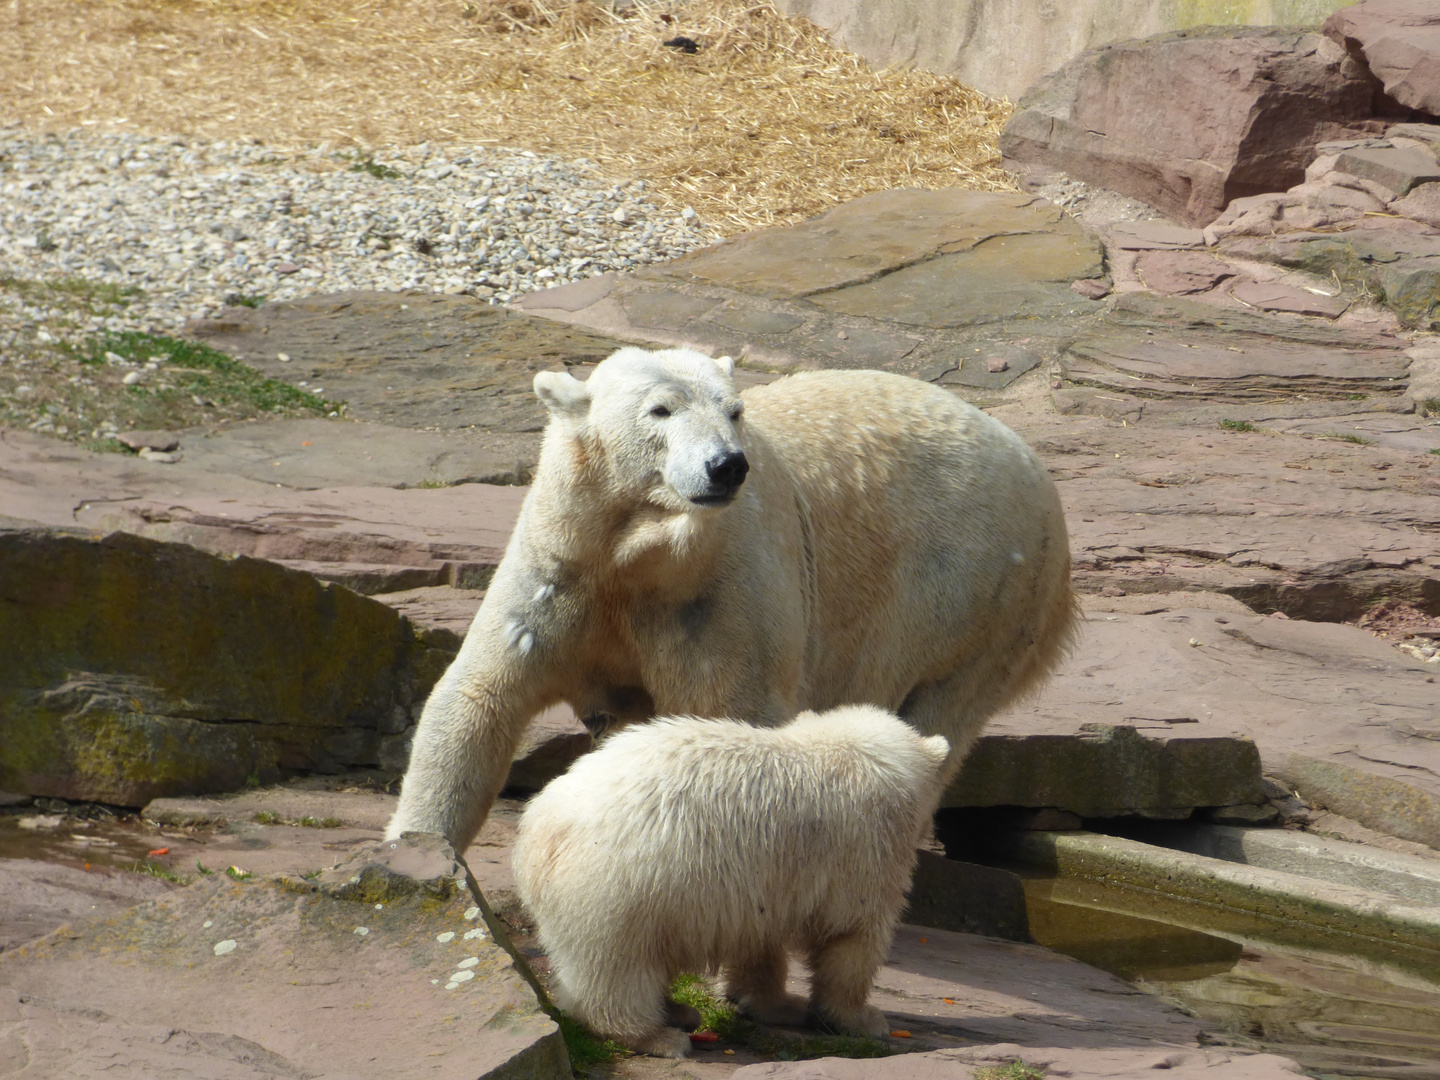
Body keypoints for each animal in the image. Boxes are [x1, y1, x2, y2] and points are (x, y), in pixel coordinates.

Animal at [388, 351, 1077, 852]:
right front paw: (420, 847)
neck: (641, 557)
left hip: (978, 593)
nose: (726, 466)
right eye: (660, 409)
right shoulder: (561, 569)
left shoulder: (720, 594)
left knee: (935, 718)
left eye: (735, 410)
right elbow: (480, 696)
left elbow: (735, 722)